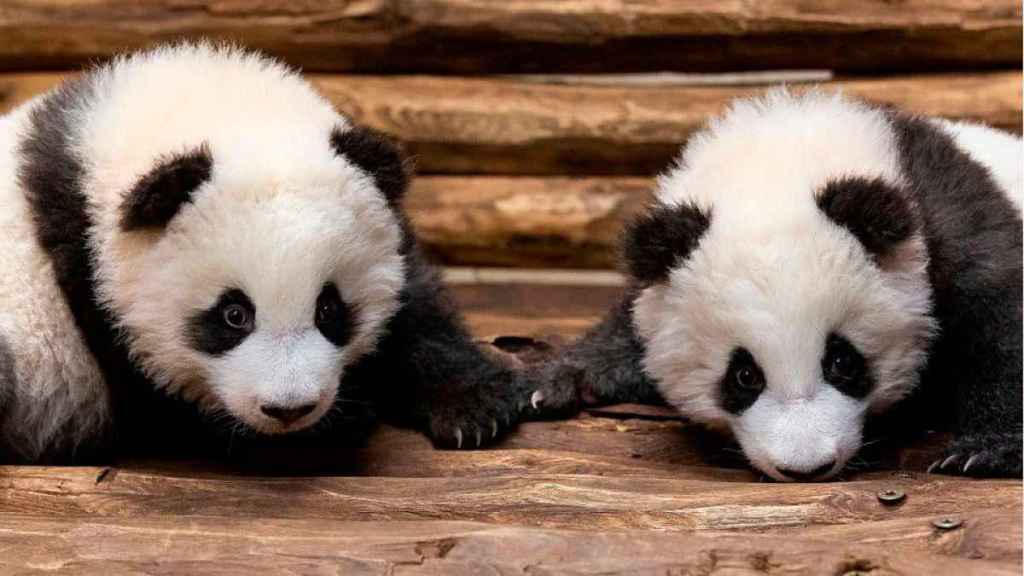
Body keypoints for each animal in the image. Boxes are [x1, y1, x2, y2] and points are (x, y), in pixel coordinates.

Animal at [0, 42, 527, 464]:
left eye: (330, 308)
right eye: (233, 315)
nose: (290, 410)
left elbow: (414, 304)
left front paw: (472, 408)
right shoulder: (88, 277)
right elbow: (164, 409)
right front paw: (334, 428)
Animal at [528, 90, 1022, 481]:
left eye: (842, 360)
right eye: (744, 376)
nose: (806, 468)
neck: (783, 158)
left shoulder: (947, 218)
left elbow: (999, 316)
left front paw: (988, 450)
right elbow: (631, 323)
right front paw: (559, 380)